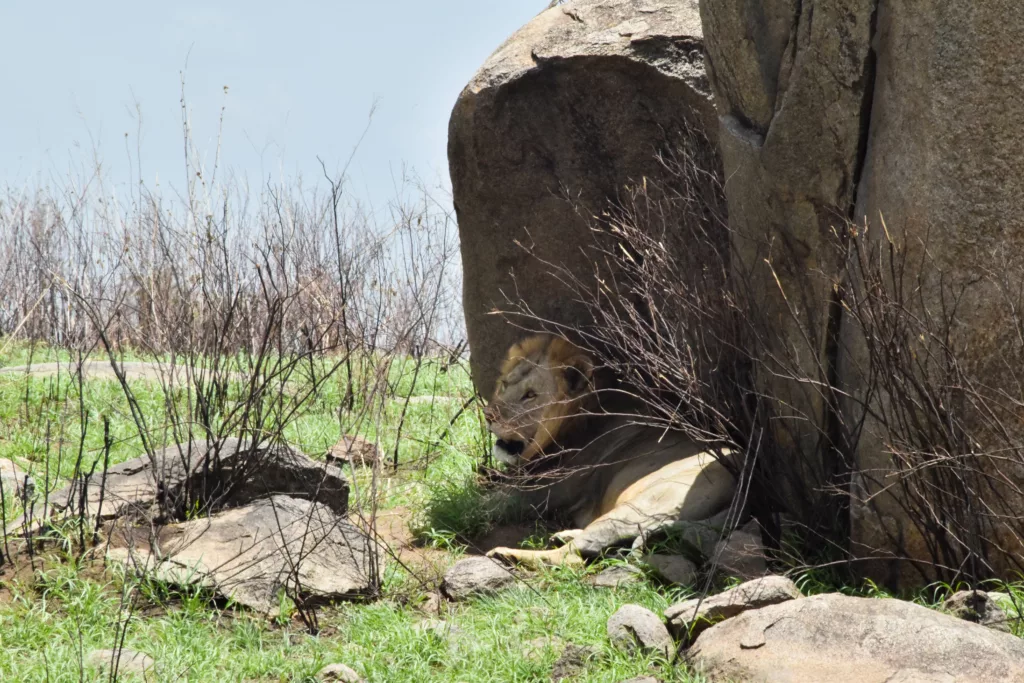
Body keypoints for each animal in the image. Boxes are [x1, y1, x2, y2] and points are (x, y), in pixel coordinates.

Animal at [479, 333, 737, 569]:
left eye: (530, 395)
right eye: (505, 384)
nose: (489, 415)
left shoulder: (539, 492)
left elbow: (484, 503)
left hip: (642, 507)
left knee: (572, 557)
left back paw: (507, 555)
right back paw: (563, 534)